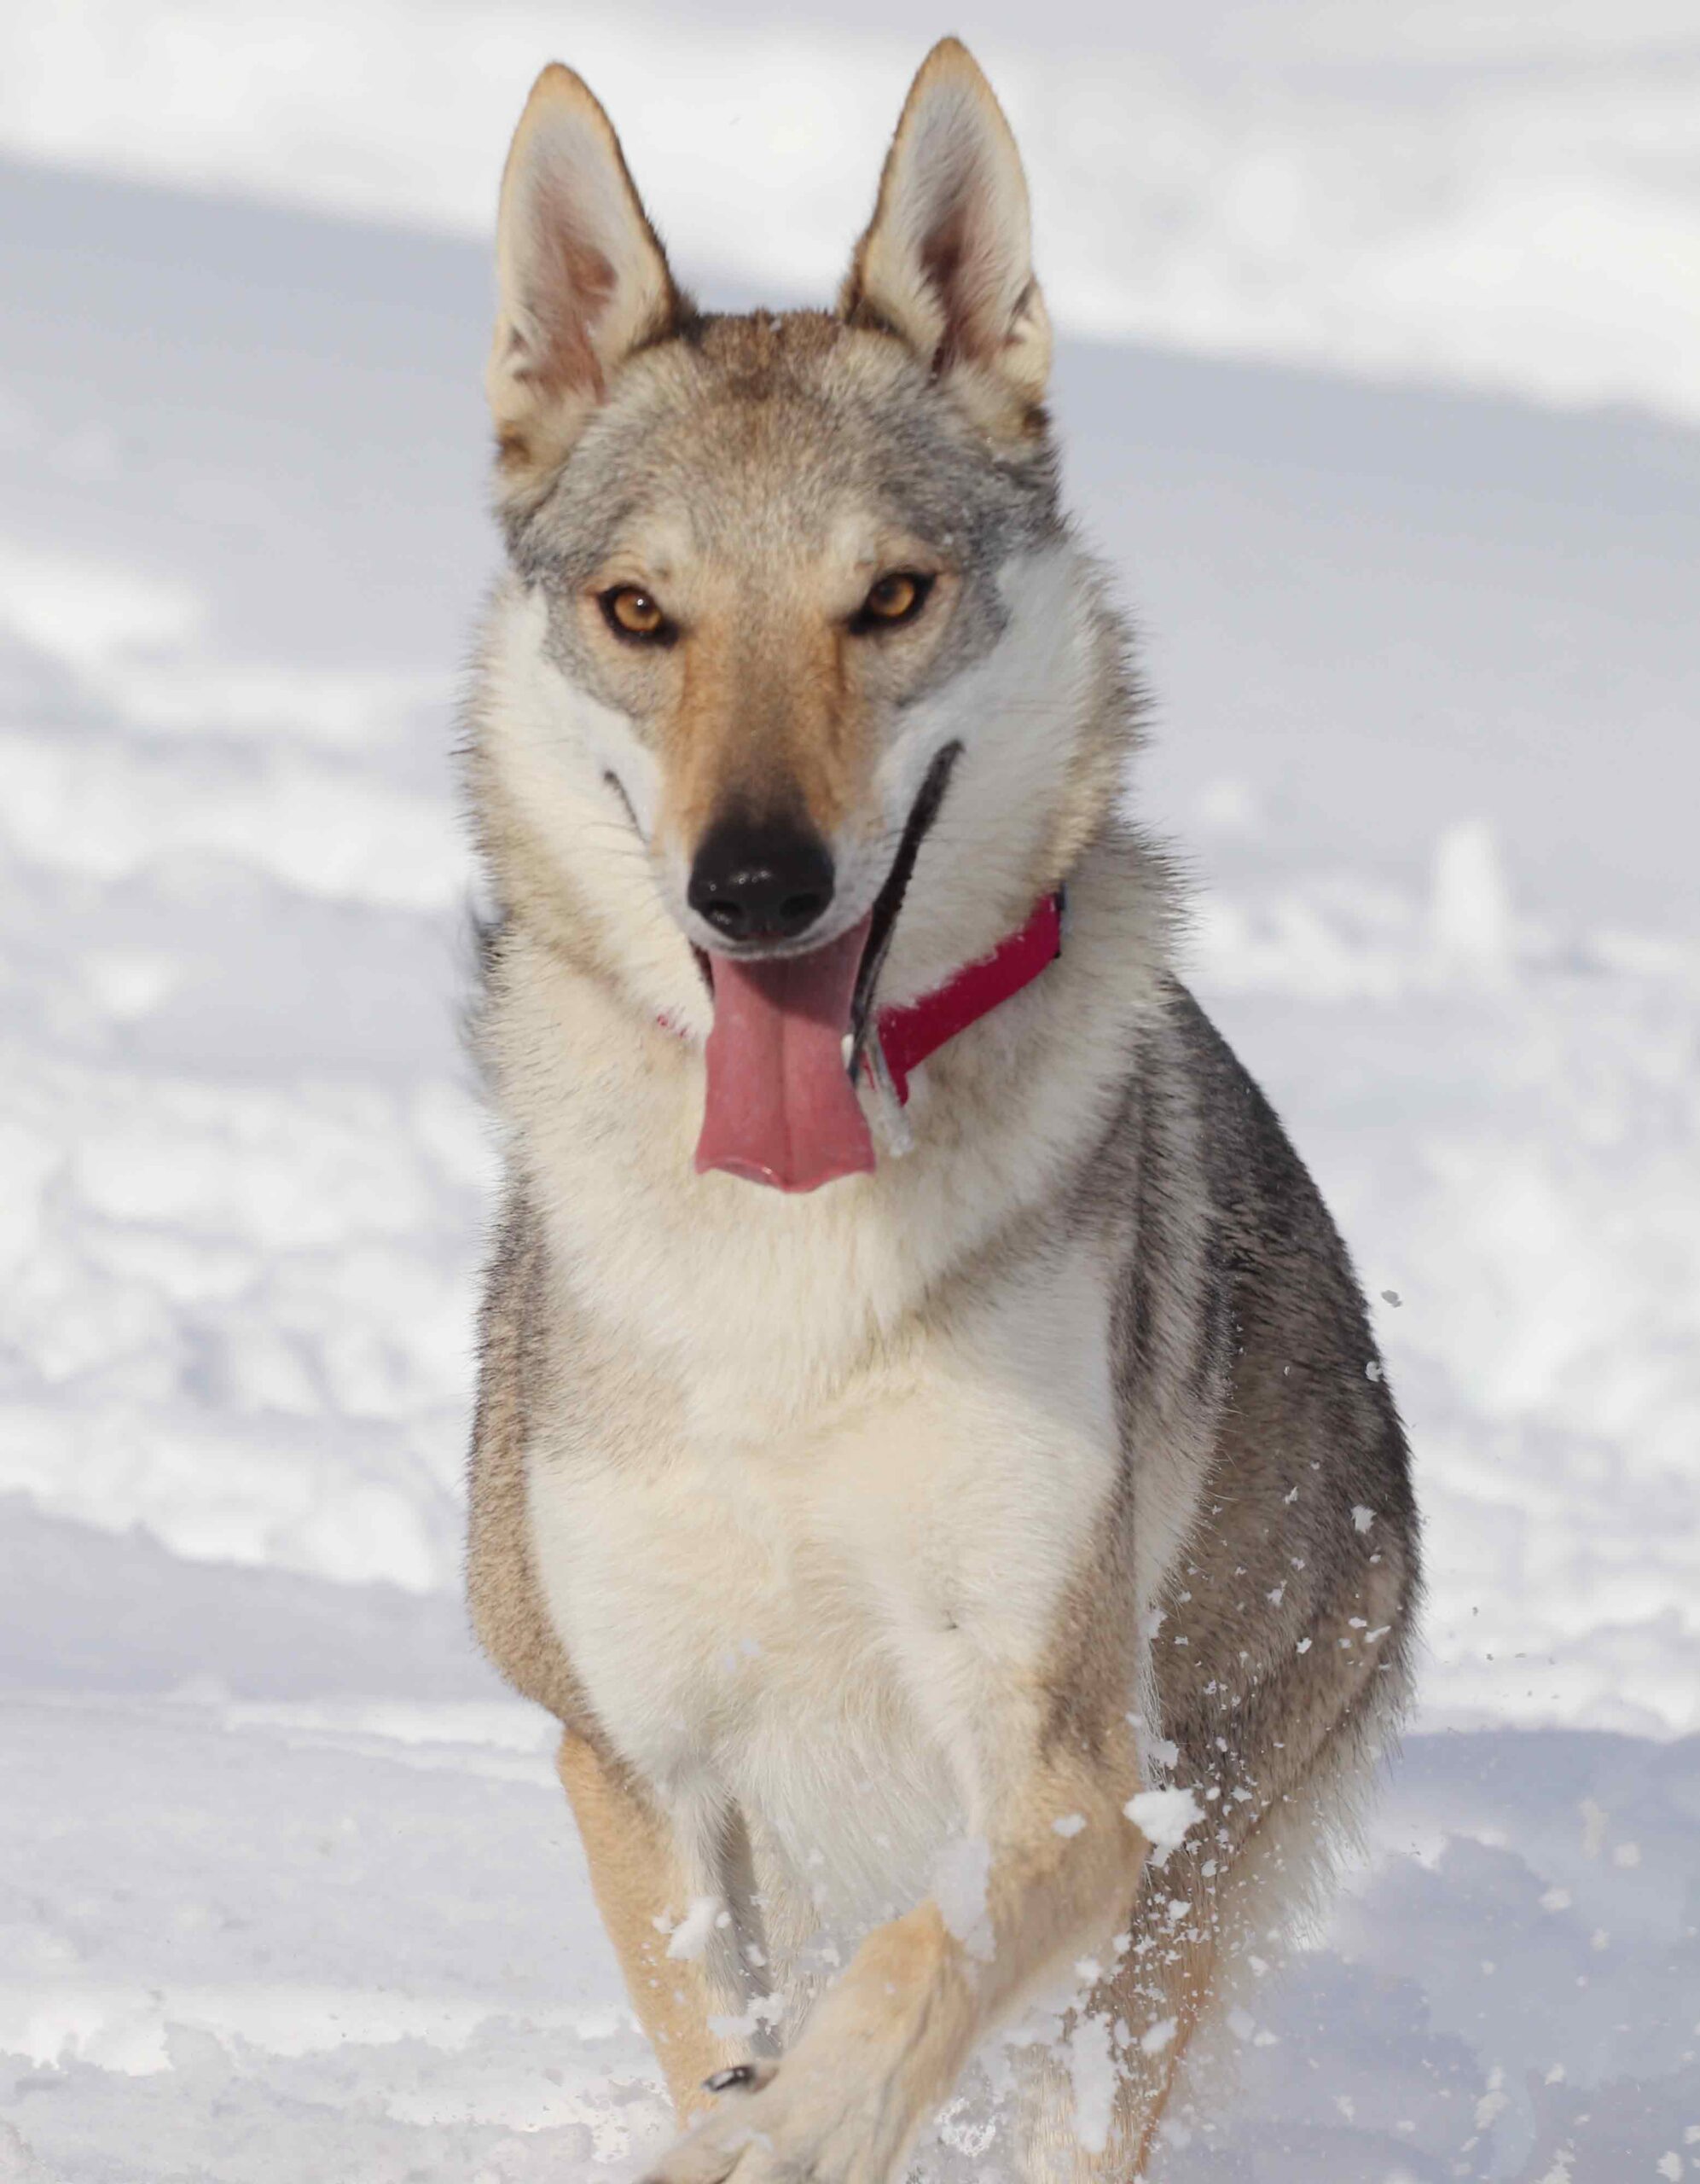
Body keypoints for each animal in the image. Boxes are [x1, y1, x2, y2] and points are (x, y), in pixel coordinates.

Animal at [463, 38, 1419, 2183]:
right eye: (640, 613)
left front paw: (791, 2129)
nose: (752, 884)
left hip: (1173, 1886)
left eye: (889, 598)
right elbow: (718, 2022)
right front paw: (739, 2116)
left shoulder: (1064, 1758)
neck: (785, 1261)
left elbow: (903, 1974)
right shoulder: (640, 1754)